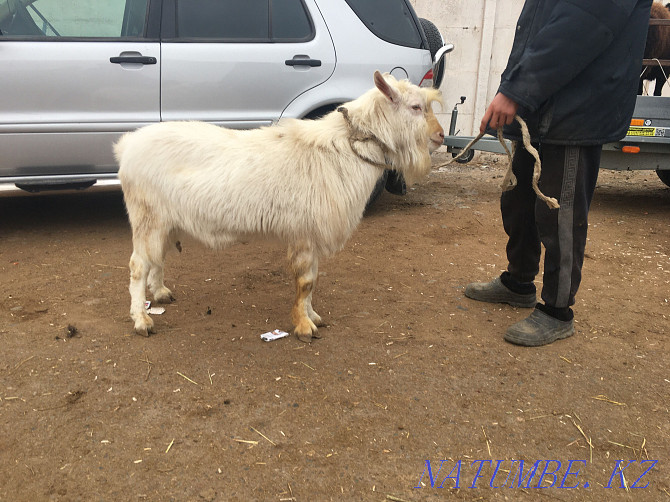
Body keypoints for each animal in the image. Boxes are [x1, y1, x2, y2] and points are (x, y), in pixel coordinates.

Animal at [117, 70, 444, 344]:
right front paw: (303, 326)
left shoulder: (311, 234)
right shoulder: (304, 233)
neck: (341, 150)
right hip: (147, 217)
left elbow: (313, 280)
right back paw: (142, 320)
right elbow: (306, 281)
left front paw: (312, 316)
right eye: (416, 107)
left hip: (164, 222)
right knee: (138, 266)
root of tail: (126, 147)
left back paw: (160, 293)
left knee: (157, 259)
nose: (440, 136)